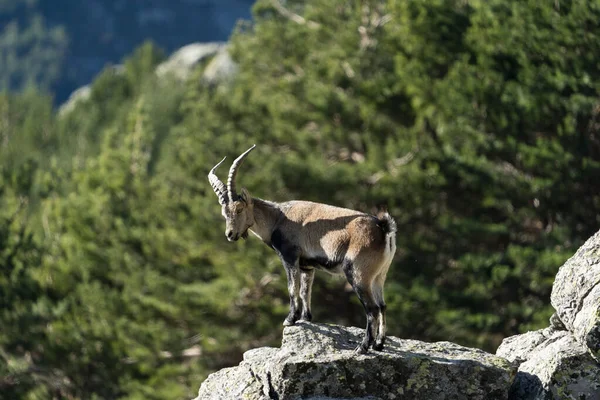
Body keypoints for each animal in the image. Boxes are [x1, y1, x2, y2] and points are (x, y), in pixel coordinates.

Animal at [209, 145, 396, 352]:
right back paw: (378, 344)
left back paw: (362, 347)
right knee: (382, 305)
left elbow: (293, 288)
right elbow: (306, 290)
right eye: (224, 213)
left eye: (239, 209)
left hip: (358, 273)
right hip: (379, 274)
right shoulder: (307, 266)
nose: (230, 234)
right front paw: (306, 318)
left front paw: (290, 319)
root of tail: (383, 228)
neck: (278, 218)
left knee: (372, 308)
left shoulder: (290, 257)